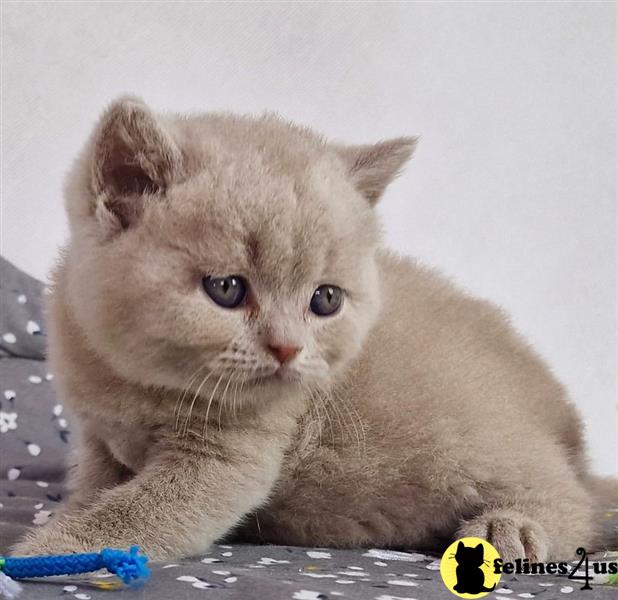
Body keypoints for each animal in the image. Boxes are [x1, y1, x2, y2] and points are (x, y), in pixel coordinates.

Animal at [12, 98, 612, 564]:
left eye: (325, 300)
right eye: (226, 289)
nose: (287, 348)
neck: (136, 383)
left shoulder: (232, 456)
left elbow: (139, 512)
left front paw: (48, 553)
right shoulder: (96, 438)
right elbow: (95, 487)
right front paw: (69, 515)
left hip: (487, 441)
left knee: (573, 498)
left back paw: (508, 529)